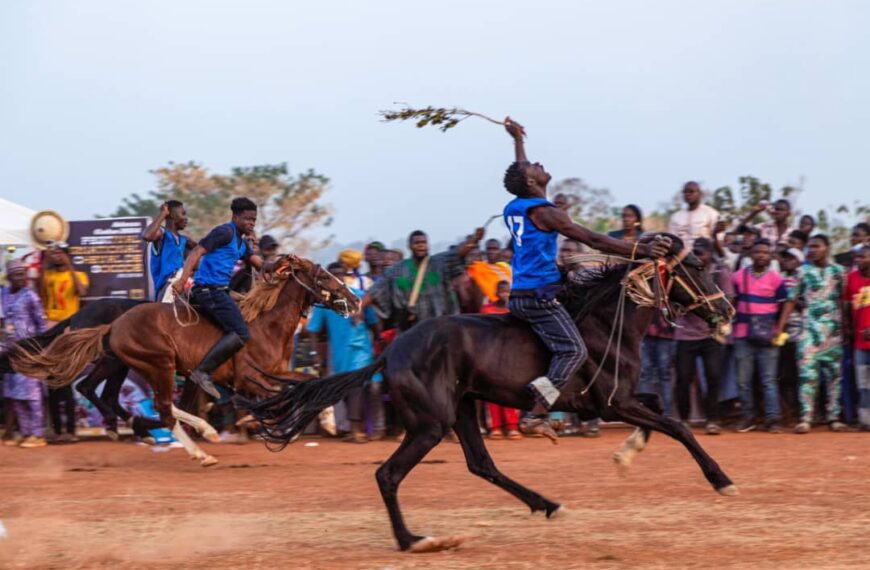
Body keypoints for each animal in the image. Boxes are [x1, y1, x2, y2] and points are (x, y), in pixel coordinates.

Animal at [11, 255, 358, 464]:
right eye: (323, 275)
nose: (354, 300)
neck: (266, 323)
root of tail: (113, 324)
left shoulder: (278, 371)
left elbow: (312, 381)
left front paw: (321, 420)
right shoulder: (252, 378)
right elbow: (289, 393)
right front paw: (268, 423)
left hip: (140, 367)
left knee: (143, 401)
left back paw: (183, 430)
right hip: (156, 364)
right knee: (159, 407)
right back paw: (197, 449)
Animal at [240, 239, 736, 552]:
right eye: (695, 268)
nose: (728, 310)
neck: (604, 321)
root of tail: (392, 351)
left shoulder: (621, 400)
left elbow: (661, 411)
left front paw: (627, 454)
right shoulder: (612, 402)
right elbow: (676, 425)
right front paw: (720, 478)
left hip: (461, 408)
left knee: (481, 464)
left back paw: (546, 503)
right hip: (432, 423)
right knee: (388, 475)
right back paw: (413, 540)